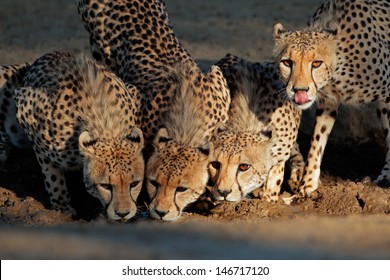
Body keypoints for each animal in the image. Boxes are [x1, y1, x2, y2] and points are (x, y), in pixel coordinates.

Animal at [13, 51, 145, 220]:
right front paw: (61, 205)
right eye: (105, 186)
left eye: (134, 183)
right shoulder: (25, 106)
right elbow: (51, 173)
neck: (107, 128)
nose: (123, 214)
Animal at [210, 54, 304, 201]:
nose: (223, 192)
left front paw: (267, 200)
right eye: (215, 164)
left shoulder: (278, 159)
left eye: (244, 167)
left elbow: (273, 185)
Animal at [274, 0, 390, 197]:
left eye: (316, 63)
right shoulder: (329, 101)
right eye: (287, 62)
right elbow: (317, 140)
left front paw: (386, 178)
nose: (299, 90)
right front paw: (308, 183)